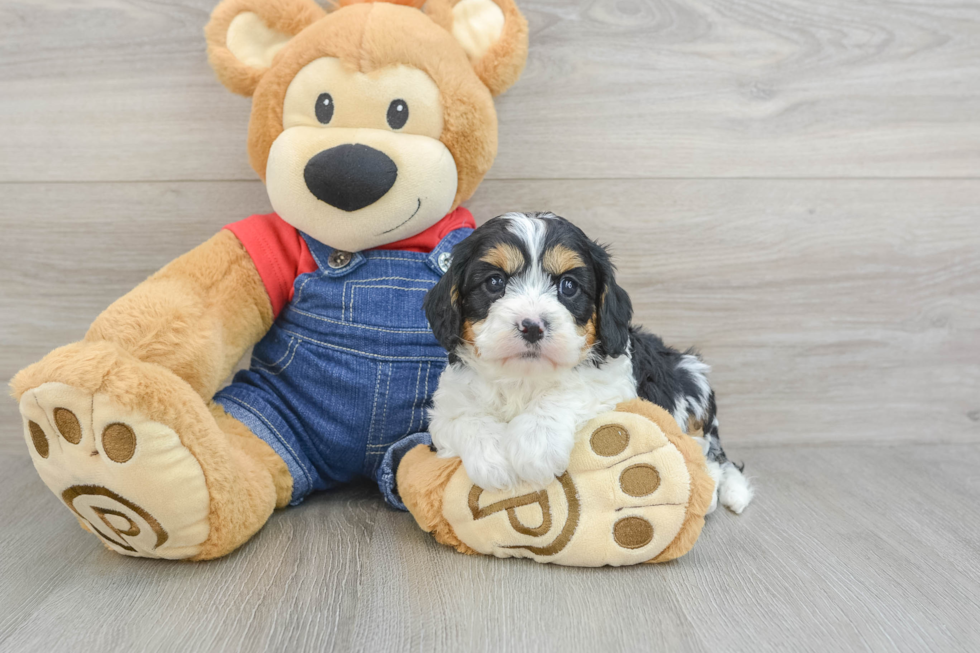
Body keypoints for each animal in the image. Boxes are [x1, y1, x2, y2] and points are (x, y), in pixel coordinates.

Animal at [424, 211, 756, 512]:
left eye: (569, 286)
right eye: (494, 282)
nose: (532, 326)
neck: (525, 376)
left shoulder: (614, 383)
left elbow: (570, 391)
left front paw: (535, 443)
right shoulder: (447, 406)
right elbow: (463, 417)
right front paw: (492, 460)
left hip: (690, 378)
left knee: (711, 453)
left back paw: (716, 492)